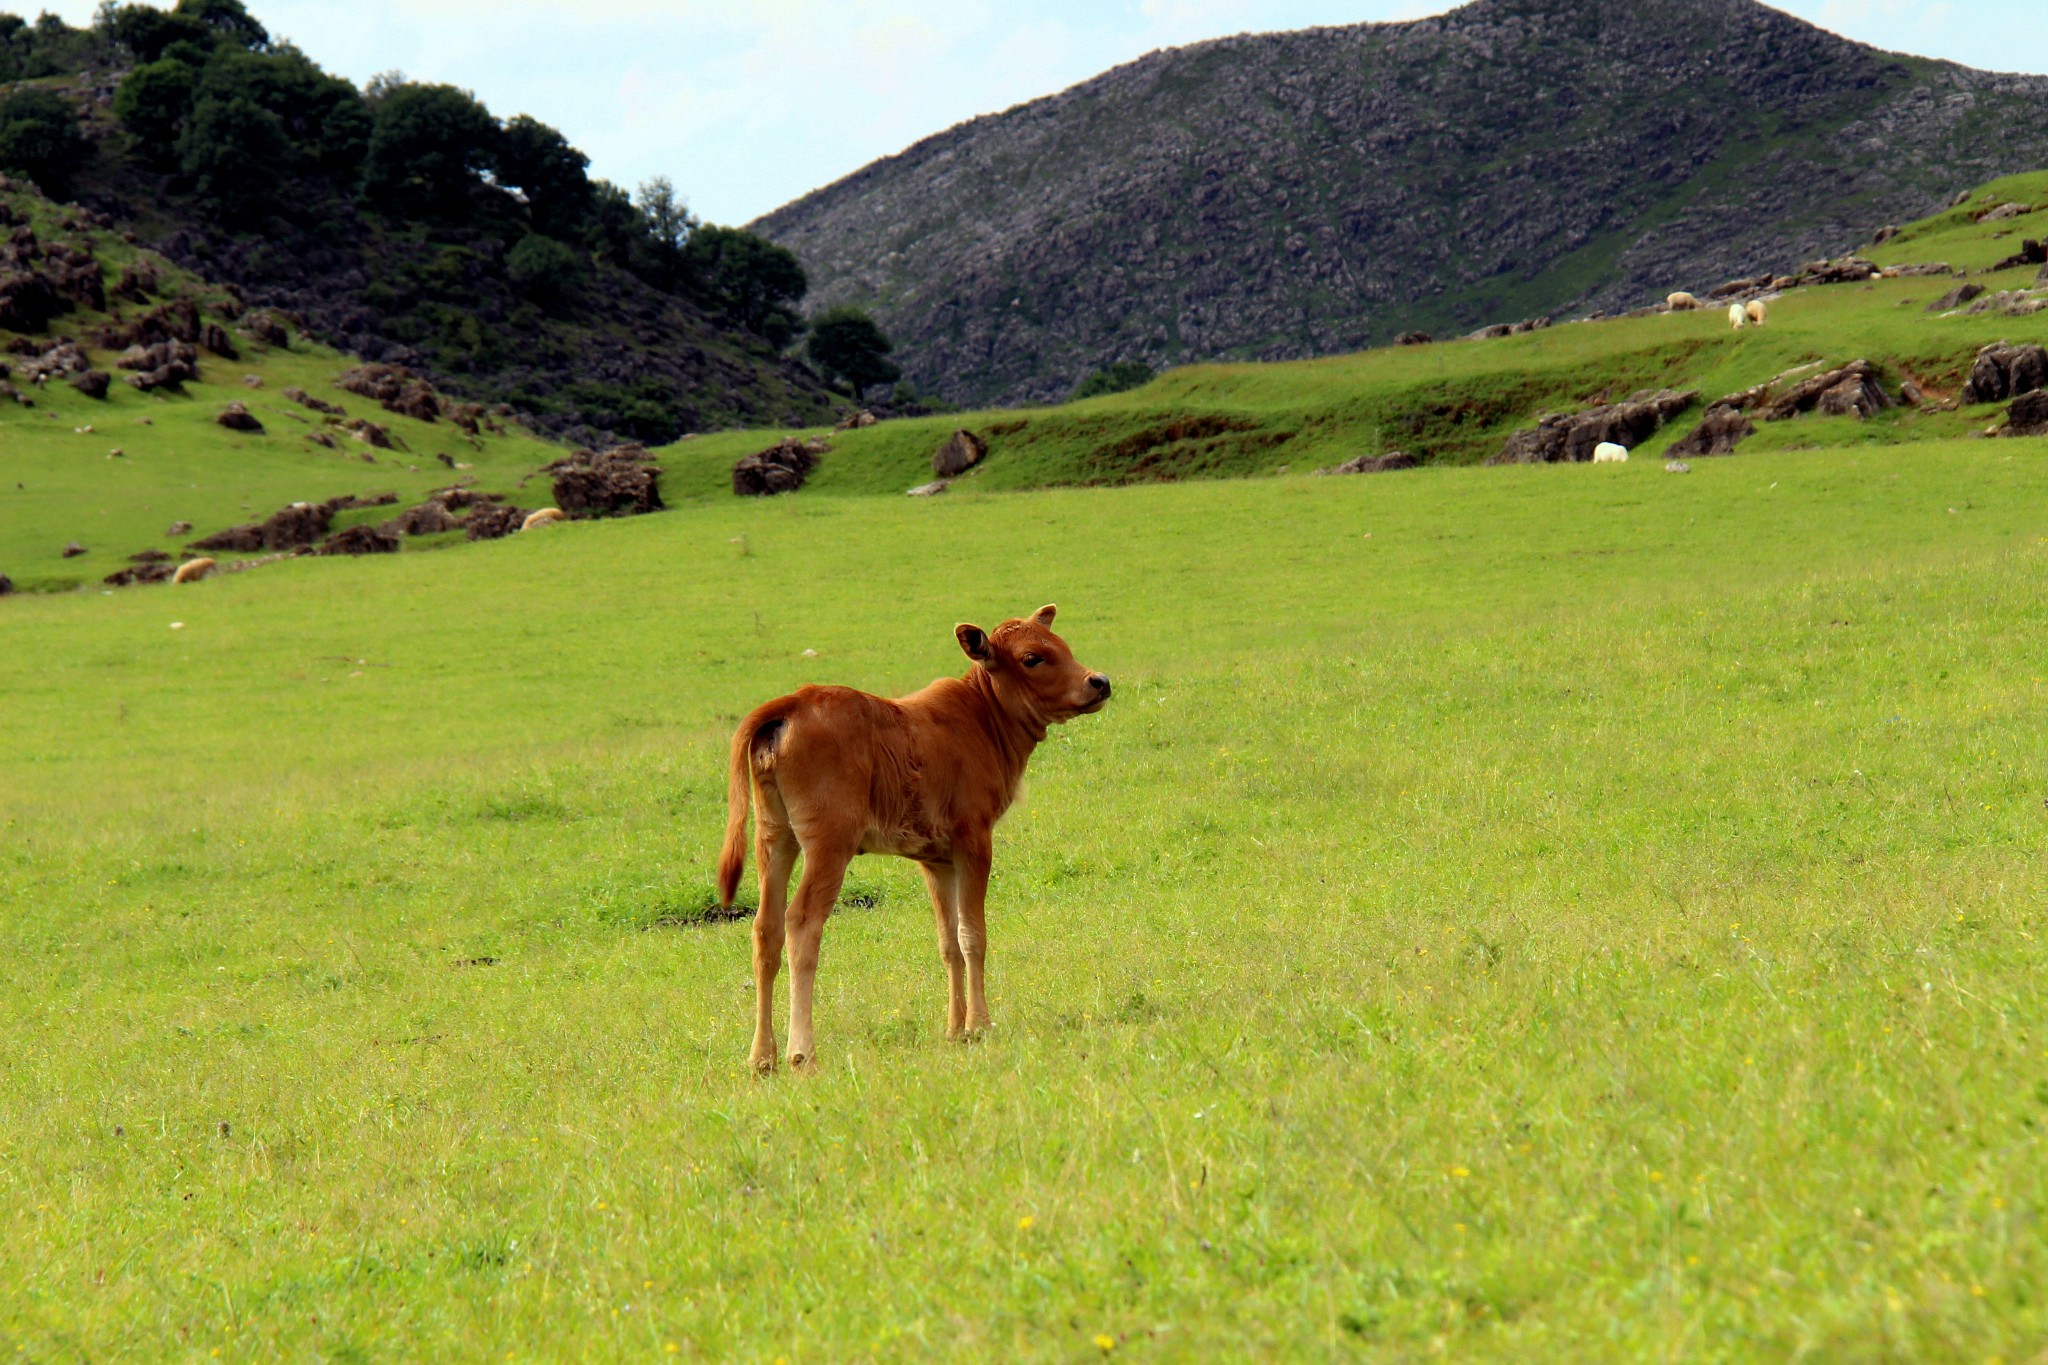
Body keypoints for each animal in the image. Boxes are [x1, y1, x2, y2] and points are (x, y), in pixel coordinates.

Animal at [716, 605, 1114, 1064]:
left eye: (1063, 646)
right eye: (1032, 657)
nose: (1099, 681)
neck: (982, 720)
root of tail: (793, 701)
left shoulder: (936, 859)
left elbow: (949, 942)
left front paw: (955, 1029)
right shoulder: (975, 840)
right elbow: (973, 935)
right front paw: (980, 1025)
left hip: (775, 837)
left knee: (766, 930)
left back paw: (762, 1056)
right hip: (829, 843)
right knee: (800, 922)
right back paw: (802, 1053)